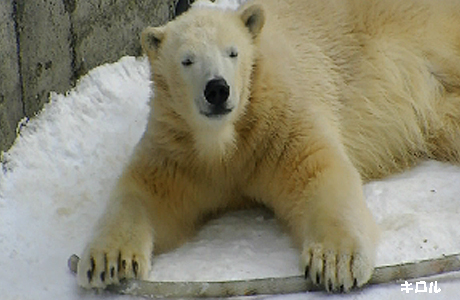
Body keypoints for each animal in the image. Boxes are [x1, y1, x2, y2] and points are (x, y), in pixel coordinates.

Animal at [77, 0, 460, 292]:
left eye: (233, 52)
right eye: (187, 60)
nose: (217, 89)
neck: (226, 140)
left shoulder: (278, 123)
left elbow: (319, 172)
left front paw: (334, 263)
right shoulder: (179, 149)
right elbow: (145, 192)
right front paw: (109, 263)